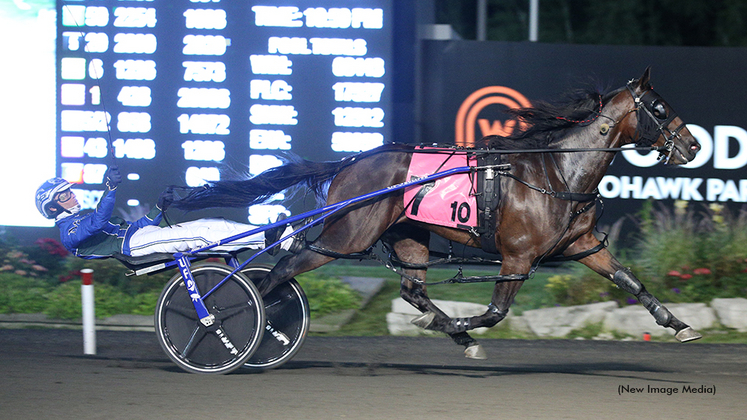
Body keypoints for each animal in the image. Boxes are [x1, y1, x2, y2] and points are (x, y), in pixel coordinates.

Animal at [174, 69, 700, 358]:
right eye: (658, 106)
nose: (693, 145)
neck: (556, 172)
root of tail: (350, 162)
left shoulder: (583, 245)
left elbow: (631, 281)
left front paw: (679, 325)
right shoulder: (518, 257)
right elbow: (494, 313)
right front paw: (461, 330)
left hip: (408, 233)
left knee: (411, 289)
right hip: (346, 236)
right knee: (279, 272)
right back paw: (230, 326)